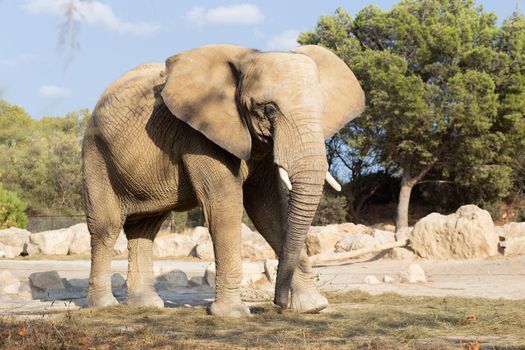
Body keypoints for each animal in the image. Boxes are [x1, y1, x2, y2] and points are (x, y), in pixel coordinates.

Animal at [84, 44, 364, 318]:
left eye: (322, 109)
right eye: (269, 110)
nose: (279, 304)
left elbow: (268, 209)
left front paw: (313, 306)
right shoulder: (199, 134)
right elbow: (225, 206)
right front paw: (233, 314)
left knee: (145, 228)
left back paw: (146, 305)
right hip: (96, 157)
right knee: (106, 227)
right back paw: (104, 305)